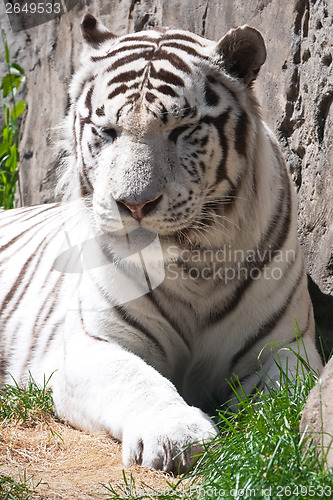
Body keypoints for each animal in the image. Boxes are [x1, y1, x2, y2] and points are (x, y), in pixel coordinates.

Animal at [0, 12, 322, 472]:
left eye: (182, 129)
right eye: (107, 131)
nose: (133, 204)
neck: (194, 264)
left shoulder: (283, 347)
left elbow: (289, 396)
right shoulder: (92, 345)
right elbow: (139, 381)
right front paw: (178, 435)